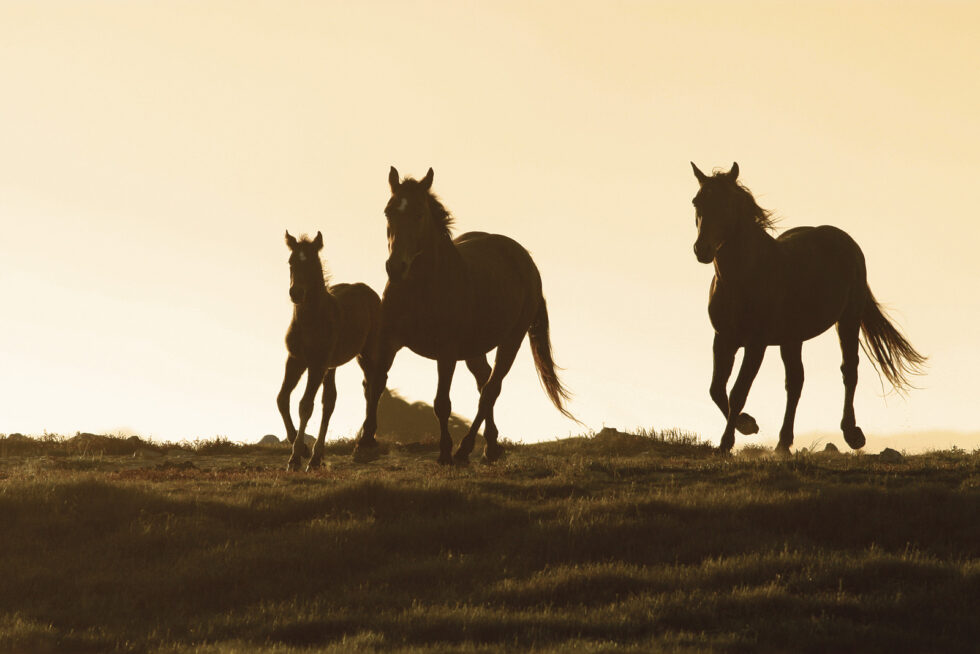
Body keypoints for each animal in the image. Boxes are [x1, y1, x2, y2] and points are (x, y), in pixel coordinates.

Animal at [277, 231, 381, 471]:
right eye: (291, 262)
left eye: (313, 263)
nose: (296, 293)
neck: (310, 320)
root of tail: (367, 290)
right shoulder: (295, 360)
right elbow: (282, 399)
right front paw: (304, 451)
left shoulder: (316, 364)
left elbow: (305, 405)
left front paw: (295, 457)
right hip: (331, 367)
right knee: (330, 402)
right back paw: (317, 458)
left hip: (366, 354)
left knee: (371, 388)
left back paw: (366, 443)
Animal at [352, 166, 574, 465]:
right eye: (388, 212)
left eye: (419, 213)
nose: (396, 267)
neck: (421, 287)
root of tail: (525, 259)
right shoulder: (389, 341)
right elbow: (375, 385)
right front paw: (364, 444)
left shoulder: (446, 352)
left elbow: (441, 402)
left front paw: (445, 451)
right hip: (474, 349)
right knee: (485, 382)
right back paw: (490, 446)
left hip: (511, 340)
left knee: (490, 390)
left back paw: (465, 449)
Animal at [690, 162, 925, 454]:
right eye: (697, 202)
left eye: (728, 203)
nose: (702, 249)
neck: (744, 277)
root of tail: (843, 239)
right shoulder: (723, 339)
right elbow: (716, 389)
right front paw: (747, 425)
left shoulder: (756, 344)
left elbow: (737, 392)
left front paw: (727, 442)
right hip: (792, 338)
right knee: (795, 382)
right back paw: (783, 443)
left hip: (847, 320)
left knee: (849, 370)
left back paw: (852, 434)